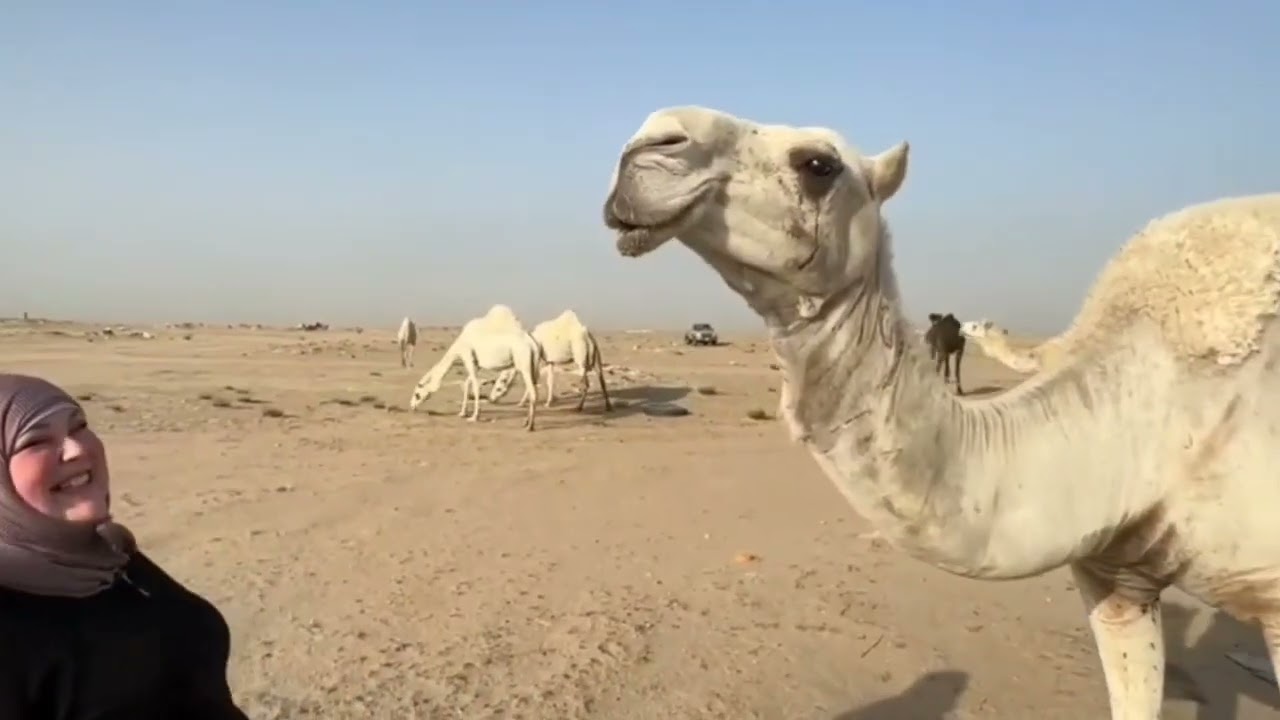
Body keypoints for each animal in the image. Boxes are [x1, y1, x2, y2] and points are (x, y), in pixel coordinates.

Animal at [407, 305, 540, 430]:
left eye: (417, 394)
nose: (412, 406)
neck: (459, 344)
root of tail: (532, 344)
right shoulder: (475, 363)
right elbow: (467, 384)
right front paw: (462, 413)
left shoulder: (467, 356)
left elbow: (475, 386)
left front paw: (474, 416)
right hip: (533, 365)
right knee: (534, 389)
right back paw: (526, 422)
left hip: (524, 364)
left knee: (533, 392)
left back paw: (530, 426)